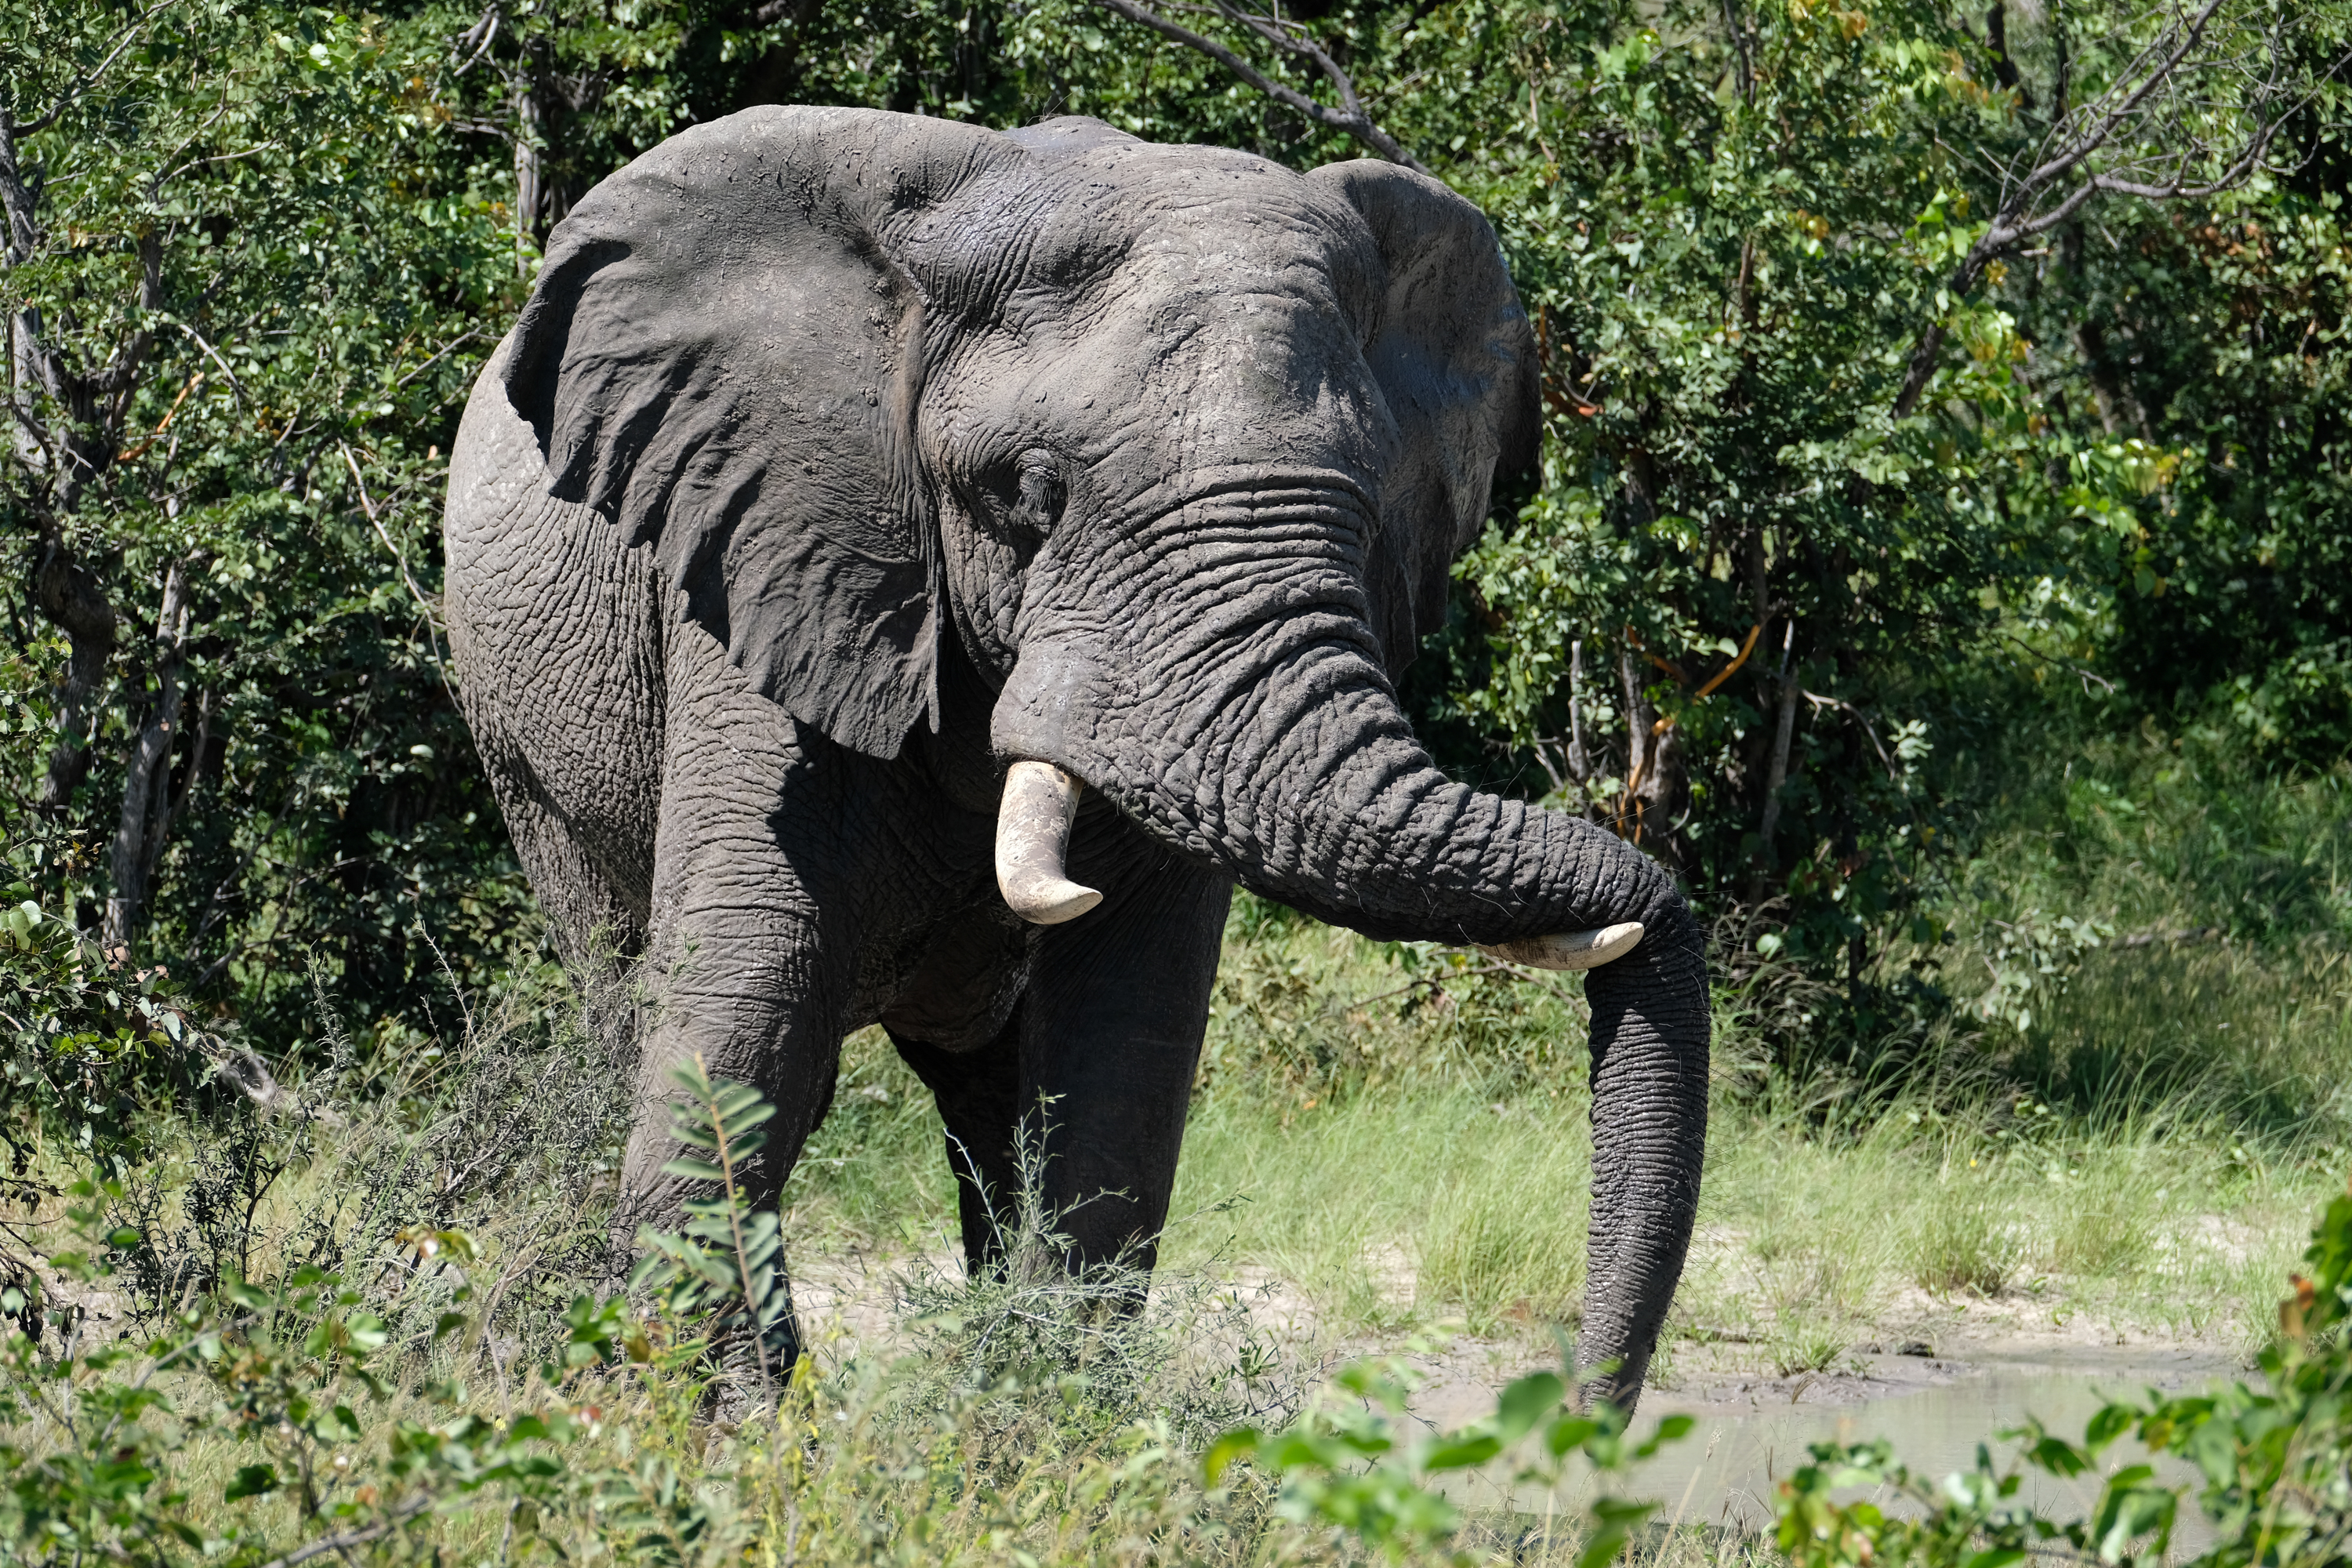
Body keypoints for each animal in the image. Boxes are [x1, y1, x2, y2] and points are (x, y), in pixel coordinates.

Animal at [441, 105, 1708, 1411]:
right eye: (1029, 494)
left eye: (1372, 505)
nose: (1589, 1410)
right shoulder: (771, 563)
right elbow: (746, 993)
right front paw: (738, 1425)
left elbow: (1124, 1037)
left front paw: (1042, 1421)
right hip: (525, 757)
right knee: (636, 991)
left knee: (992, 1105)